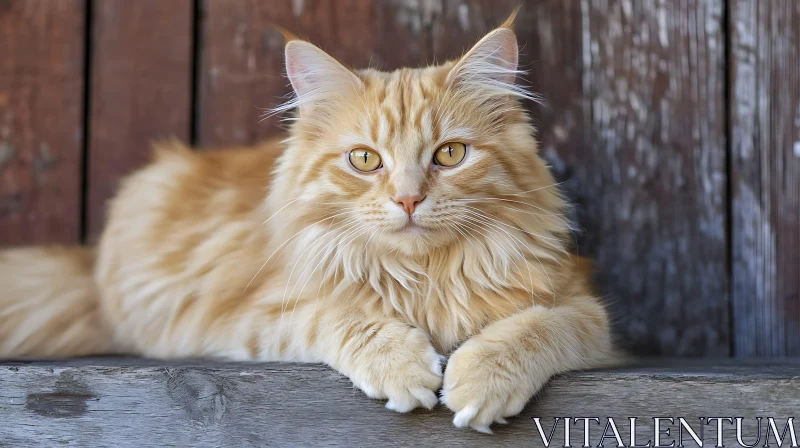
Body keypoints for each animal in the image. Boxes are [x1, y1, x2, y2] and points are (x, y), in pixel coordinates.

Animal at [0, 11, 612, 434]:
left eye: (450, 155)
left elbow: (539, 326)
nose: (408, 199)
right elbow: (339, 315)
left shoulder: (587, 313)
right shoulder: (251, 313)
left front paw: (480, 376)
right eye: (364, 159)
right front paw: (403, 367)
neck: (425, 281)